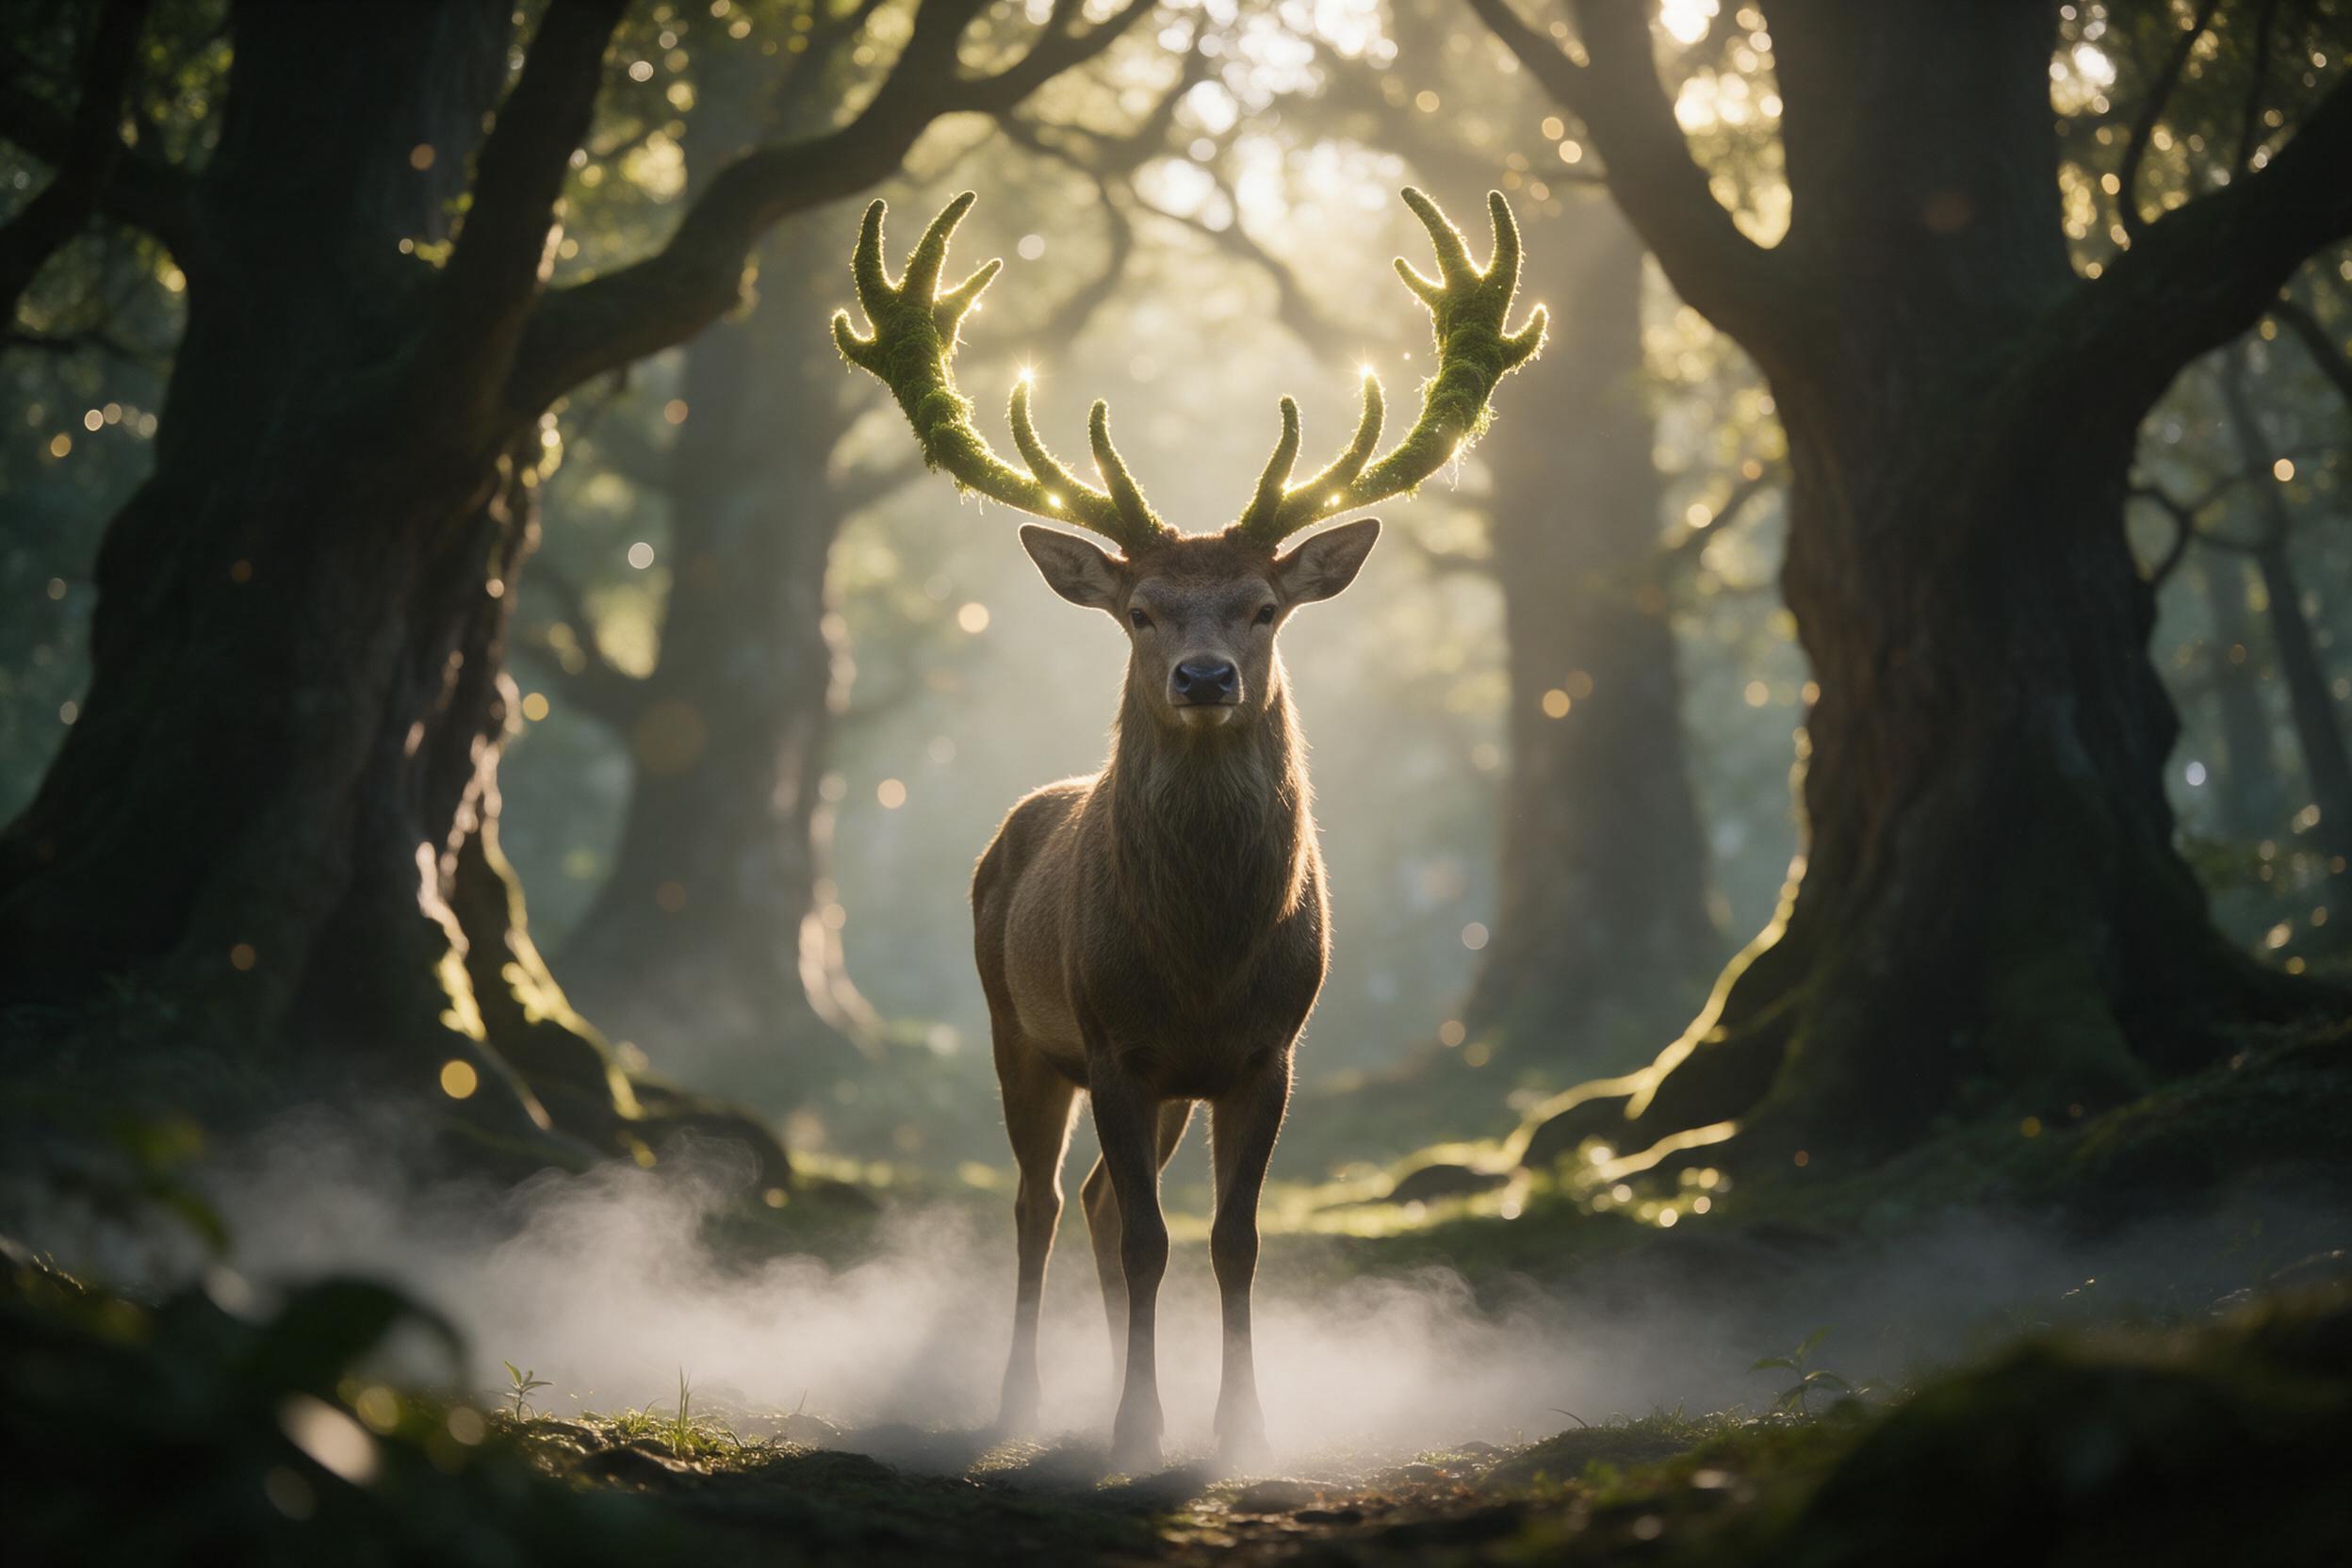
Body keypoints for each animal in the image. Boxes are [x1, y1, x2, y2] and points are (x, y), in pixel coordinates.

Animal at [833, 186, 1543, 1470]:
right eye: (1142, 609)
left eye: (1262, 607)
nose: (1205, 676)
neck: (1206, 956)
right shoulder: (1116, 1042)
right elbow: (1151, 1237)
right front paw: (1135, 1426)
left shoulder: (1266, 1054)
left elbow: (1230, 1239)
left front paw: (1240, 1426)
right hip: (1017, 1025)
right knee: (1042, 1202)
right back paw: (1022, 1395)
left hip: (1157, 1083)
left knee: (1102, 1203)